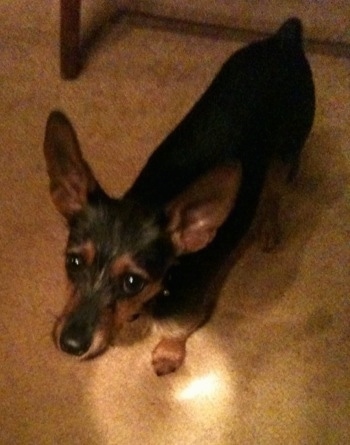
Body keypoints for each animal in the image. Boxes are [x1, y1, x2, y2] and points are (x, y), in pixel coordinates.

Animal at [43, 17, 314, 374]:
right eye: (73, 261)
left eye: (133, 282)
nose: (71, 345)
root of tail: (285, 39)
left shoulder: (189, 310)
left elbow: (176, 330)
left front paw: (167, 355)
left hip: (286, 154)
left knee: (274, 192)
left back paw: (269, 228)